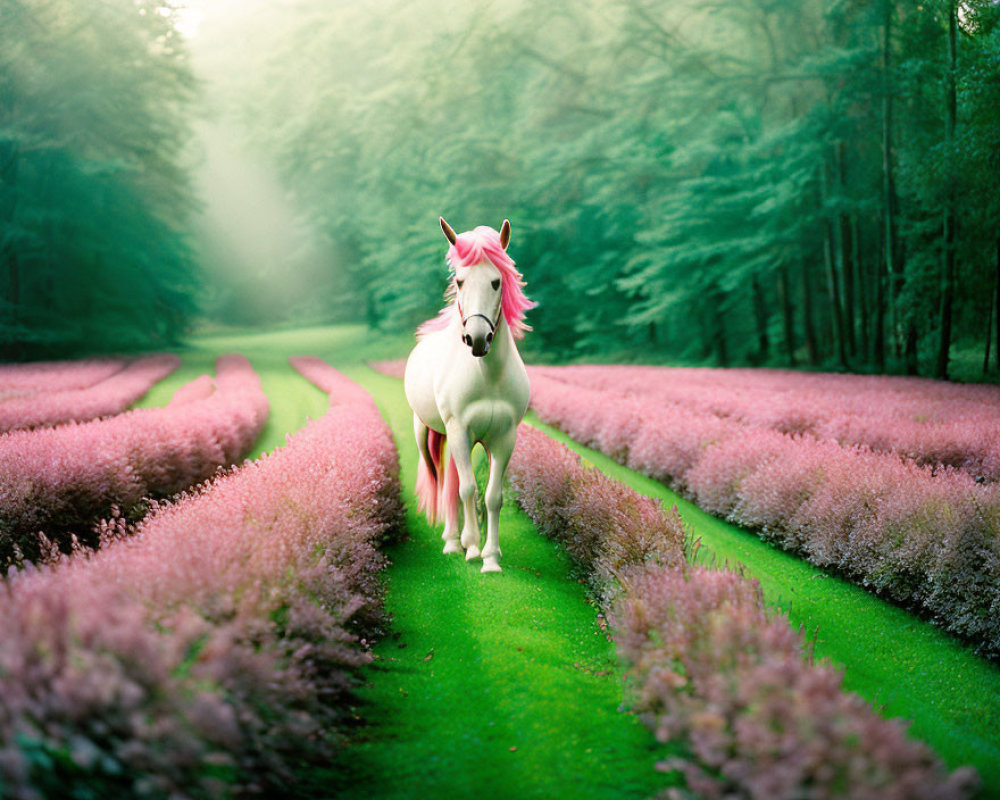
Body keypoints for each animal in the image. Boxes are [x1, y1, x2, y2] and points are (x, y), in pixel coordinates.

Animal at [402, 216, 536, 572]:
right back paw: (453, 541)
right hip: (430, 431)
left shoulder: (504, 437)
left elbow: (492, 495)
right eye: (460, 281)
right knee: (445, 480)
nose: (477, 339)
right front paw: (473, 547)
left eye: (496, 281)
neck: (487, 376)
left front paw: (491, 557)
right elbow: (466, 489)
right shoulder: (460, 430)